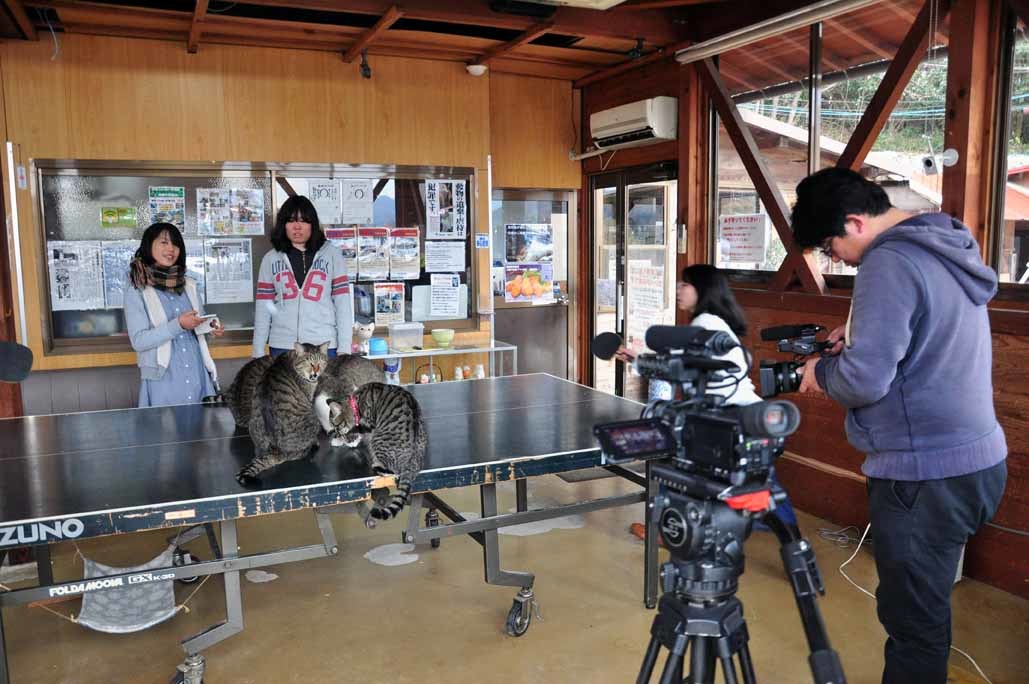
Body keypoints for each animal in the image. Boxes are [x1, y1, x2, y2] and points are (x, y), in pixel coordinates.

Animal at [235, 341, 327, 485]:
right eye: (309, 362)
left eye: (321, 362)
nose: (315, 374)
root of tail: (275, 450)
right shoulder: (309, 397)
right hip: (313, 420)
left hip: (253, 425)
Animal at [329, 380, 426, 520]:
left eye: (337, 427)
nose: (336, 432)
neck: (357, 401)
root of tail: (411, 462)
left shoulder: (368, 424)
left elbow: (355, 431)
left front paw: (343, 438)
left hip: (377, 439)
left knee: (390, 471)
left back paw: (375, 464)